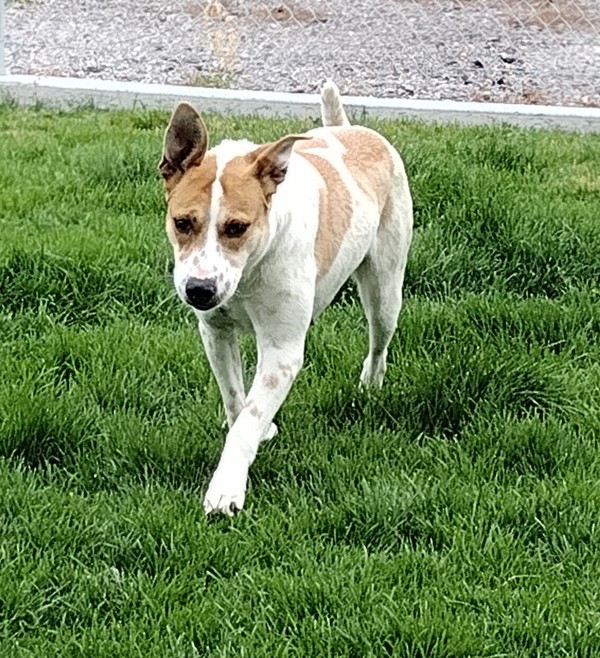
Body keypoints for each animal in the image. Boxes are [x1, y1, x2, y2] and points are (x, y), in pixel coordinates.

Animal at [159, 80, 412, 512]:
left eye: (237, 227)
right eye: (182, 222)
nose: (199, 290)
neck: (248, 272)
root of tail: (352, 130)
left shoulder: (282, 351)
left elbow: (248, 419)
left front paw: (226, 488)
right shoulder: (215, 332)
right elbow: (237, 402)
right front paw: (255, 429)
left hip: (385, 290)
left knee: (379, 341)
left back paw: (371, 384)